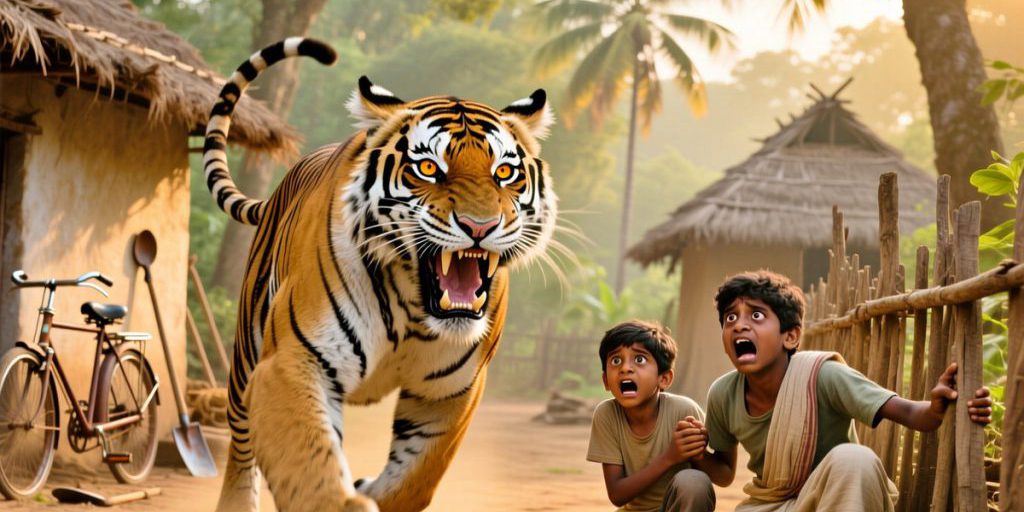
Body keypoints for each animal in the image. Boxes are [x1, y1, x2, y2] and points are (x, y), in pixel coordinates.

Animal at [203, 37, 556, 512]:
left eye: (504, 172)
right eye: (429, 169)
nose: (480, 226)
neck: (414, 307)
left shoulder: (451, 392)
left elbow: (417, 478)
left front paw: (369, 488)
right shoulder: (292, 364)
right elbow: (310, 470)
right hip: (246, 356)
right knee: (241, 447)